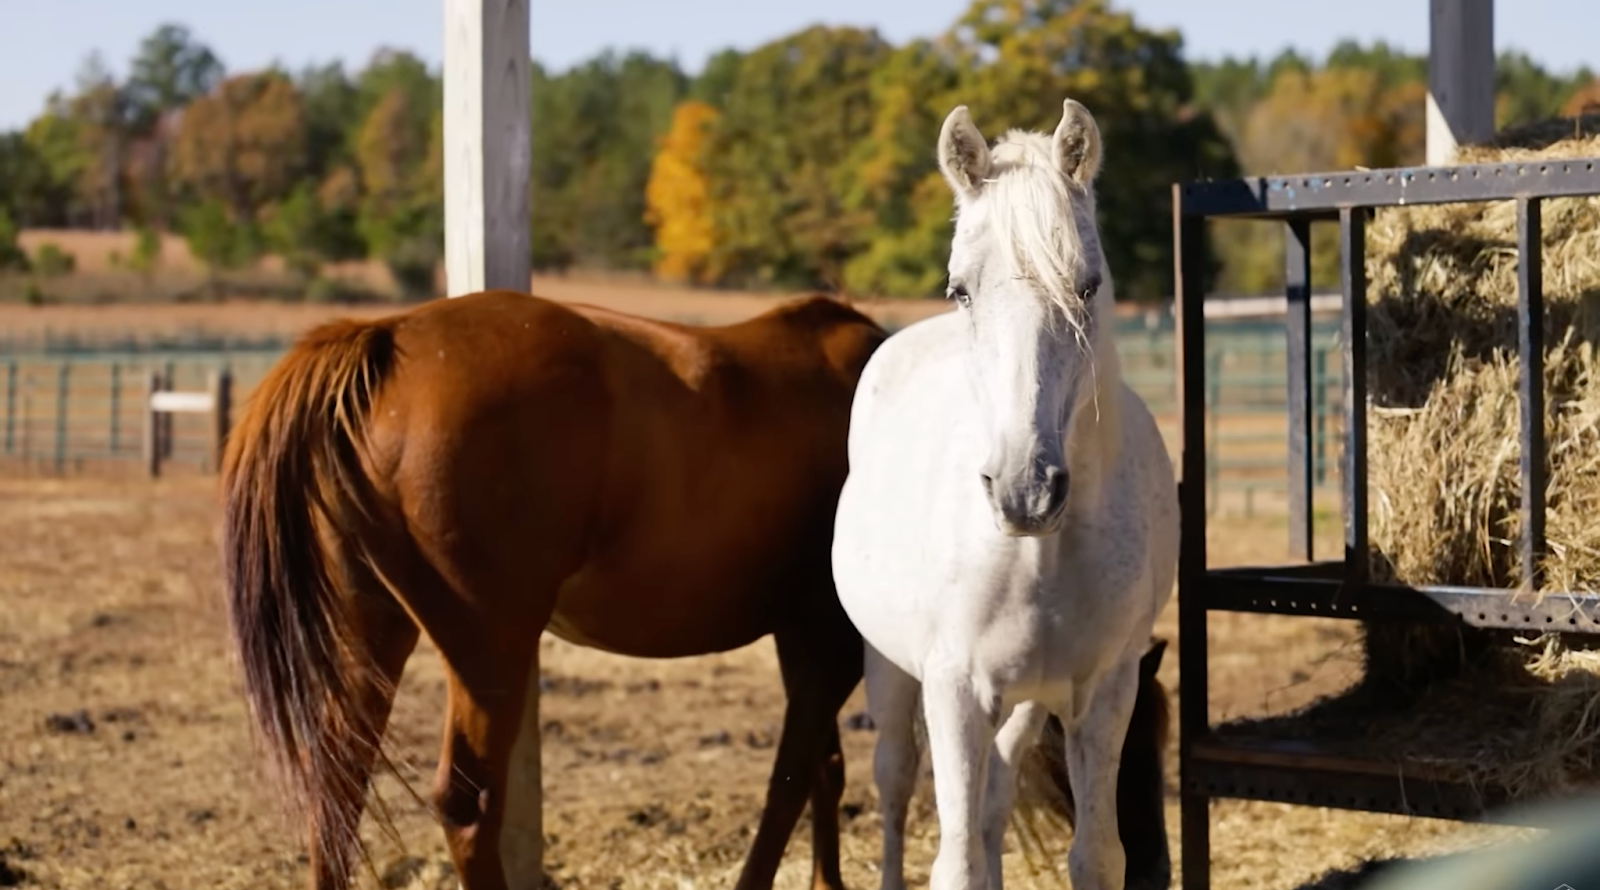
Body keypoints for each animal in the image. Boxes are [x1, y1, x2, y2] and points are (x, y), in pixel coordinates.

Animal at [830, 94, 1181, 890]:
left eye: (1087, 285)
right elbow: (955, 860)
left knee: (993, 802)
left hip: (1024, 702)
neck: (1040, 553)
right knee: (895, 782)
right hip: (891, 672)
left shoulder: (1103, 692)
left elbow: (1092, 856)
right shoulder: (954, 692)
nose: (1026, 490)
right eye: (961, 288)